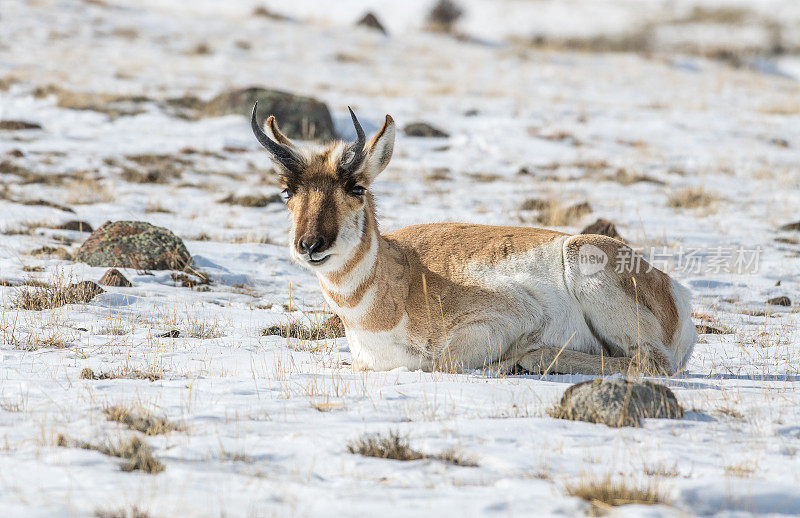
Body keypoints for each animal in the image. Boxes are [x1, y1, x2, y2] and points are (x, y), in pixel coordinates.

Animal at [250, 104, 692, 374]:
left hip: (586, 263)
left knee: (648, 363)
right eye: (286, 191)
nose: (310, 245)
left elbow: (443, 360)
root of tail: (674, 289)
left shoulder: (504, 320)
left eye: (356, 187)